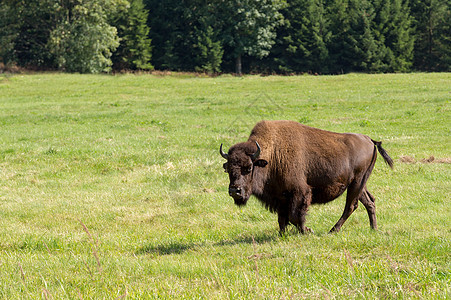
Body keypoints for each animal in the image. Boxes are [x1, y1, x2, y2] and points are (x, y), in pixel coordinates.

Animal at [221, 120, 394, 234]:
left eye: (249, 168)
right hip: (359, 184)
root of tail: (369, 140)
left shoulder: (300, 192)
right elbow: (282, 218)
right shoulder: (280, 197)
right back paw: (373, 229)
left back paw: (333, 230)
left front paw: (307, 230)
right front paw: (282, 234)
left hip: (357, 183)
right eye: (228, 169)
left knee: (351, 205)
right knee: (369, 202)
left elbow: (295, 215)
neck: (272, 154)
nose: (235, 191)